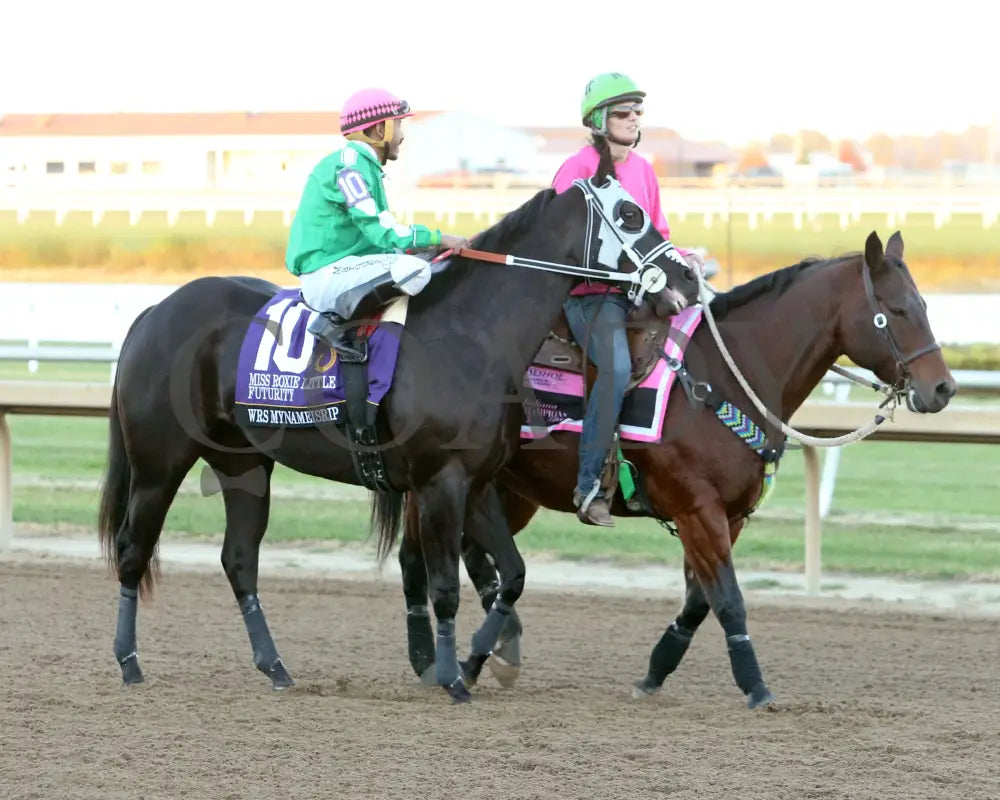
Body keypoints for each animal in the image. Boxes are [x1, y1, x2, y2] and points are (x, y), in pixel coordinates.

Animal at [400, 231, 960, 708]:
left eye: (924, 305)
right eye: (895, 309)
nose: (943, 389)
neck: (721, 379)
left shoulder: (729, 516)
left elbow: (698, 601)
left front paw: (655, 670)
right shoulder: (698, 510)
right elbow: (729, 599)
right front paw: (756, 686)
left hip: (508, 490)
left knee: (467, 557)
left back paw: (489, 653)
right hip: (446, 482)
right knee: (421, 558)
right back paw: (446, 658)